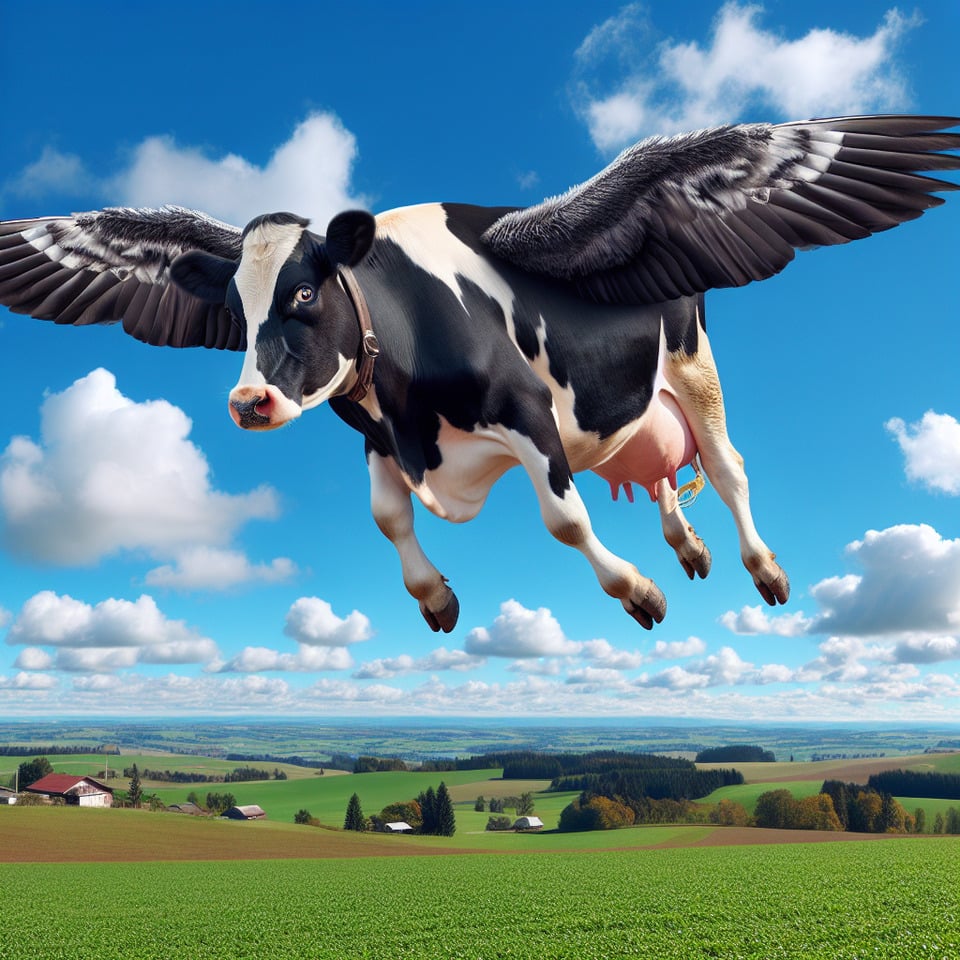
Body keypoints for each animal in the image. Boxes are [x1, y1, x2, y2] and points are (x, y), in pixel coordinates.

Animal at [1, 115, 958, 633]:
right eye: (237, 309)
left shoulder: (527, 412)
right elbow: (389, 518)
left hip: (691, 362)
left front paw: (638, 593)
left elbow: (565, 521)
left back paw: (760, 568)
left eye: (305, 294)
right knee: (657, 467)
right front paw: (434, 600)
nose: (249, 400)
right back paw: (688, 547)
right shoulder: (382, 435)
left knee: (724, 466)